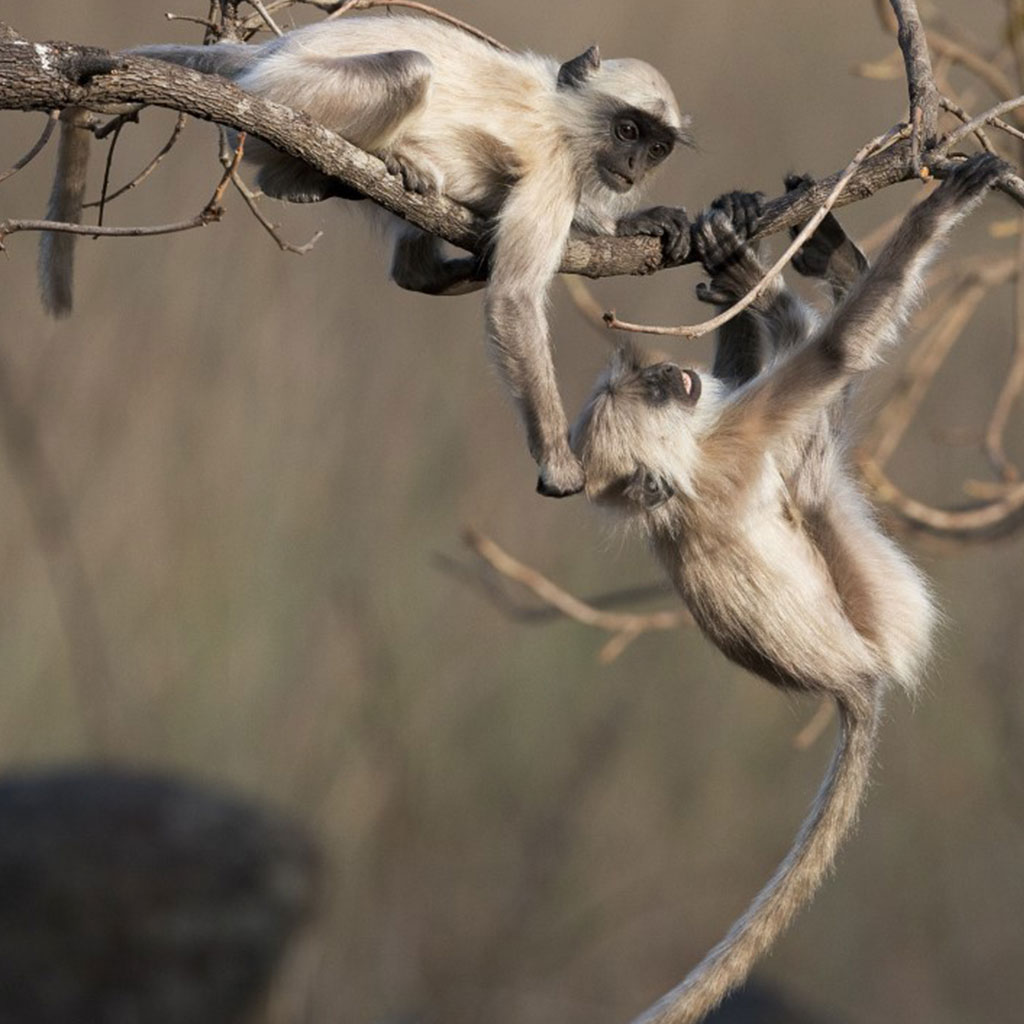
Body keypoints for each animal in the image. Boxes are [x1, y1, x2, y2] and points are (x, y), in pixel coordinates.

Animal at [41, 14, 696, 497]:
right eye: (628, 131)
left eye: (657, 147)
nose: (634, 165)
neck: (563, 115)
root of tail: (267, 54)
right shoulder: (556, 164)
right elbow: (514, 298)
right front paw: (557, 463)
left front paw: (638, 219)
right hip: (287, 95)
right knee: (405, 72)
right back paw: (312, 177)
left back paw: (429, 262)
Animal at [569, 153, 1007, 1024]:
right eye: (660, 392)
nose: (676, 373)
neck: (675, 488)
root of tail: (852, 683)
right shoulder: (729, 441)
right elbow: (833, 358)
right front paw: (935, 210)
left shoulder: (718, 429)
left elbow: (768, 367)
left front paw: (737, 257)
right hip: (885, 607)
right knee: (812, 466)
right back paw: (828, 272)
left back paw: (791, 268)